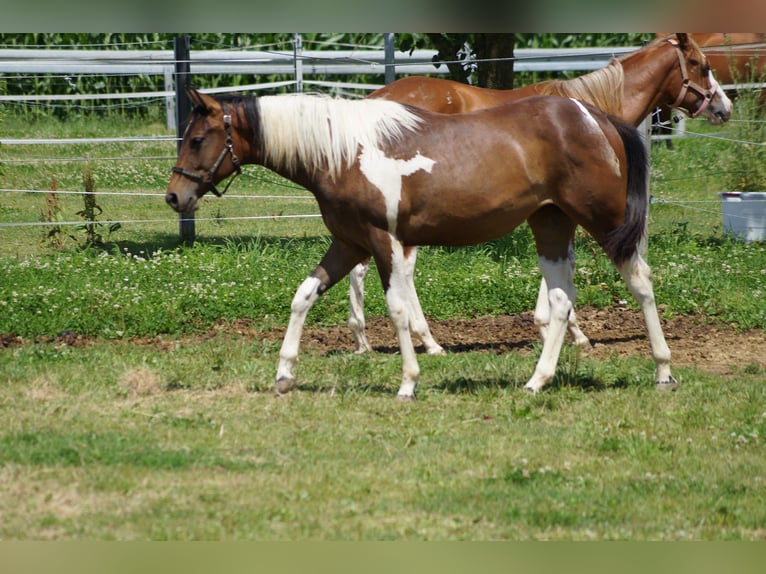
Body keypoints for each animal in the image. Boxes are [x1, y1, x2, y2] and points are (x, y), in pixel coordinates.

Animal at [164, 88, 680, 398]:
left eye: (197, 139)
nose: (174, 196)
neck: (344, 152)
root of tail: (595, 116)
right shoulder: (349, 244)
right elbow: (303, 296)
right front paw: (284, 374)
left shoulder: (384, 241)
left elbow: (395, 308)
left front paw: (408, 382)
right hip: (550, 224)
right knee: (559, 299)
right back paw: (537, 380)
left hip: (606, 222)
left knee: (640, 282)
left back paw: (663, 372)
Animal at [346, 33, 732, 358]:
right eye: (701, 65)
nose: (724, 107)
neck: (589, 112)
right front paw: (563, 330)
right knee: (397, 271)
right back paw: (426, 340)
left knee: (363, 267)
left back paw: (364, 339)